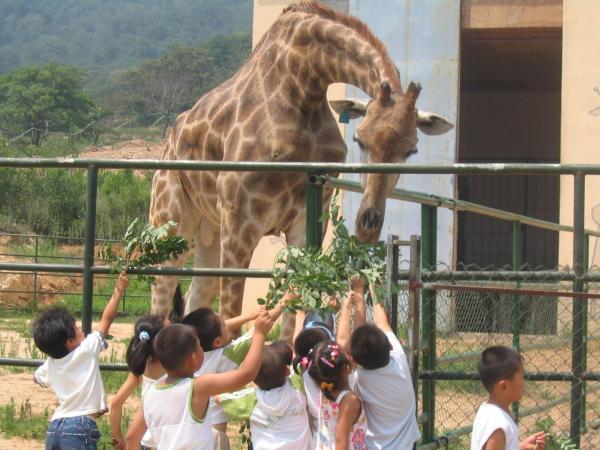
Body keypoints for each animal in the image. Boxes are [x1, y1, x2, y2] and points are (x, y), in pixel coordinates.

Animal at [149, 2, 450, 334]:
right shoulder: (239, 219)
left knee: (196, 295)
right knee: (162, 293)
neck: (304, 86)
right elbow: (232, 316)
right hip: (171, 224)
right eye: (359, 139)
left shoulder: (305, 222)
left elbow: (294, 309)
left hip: (209, 234)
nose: (367, 225)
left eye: (411, 151)